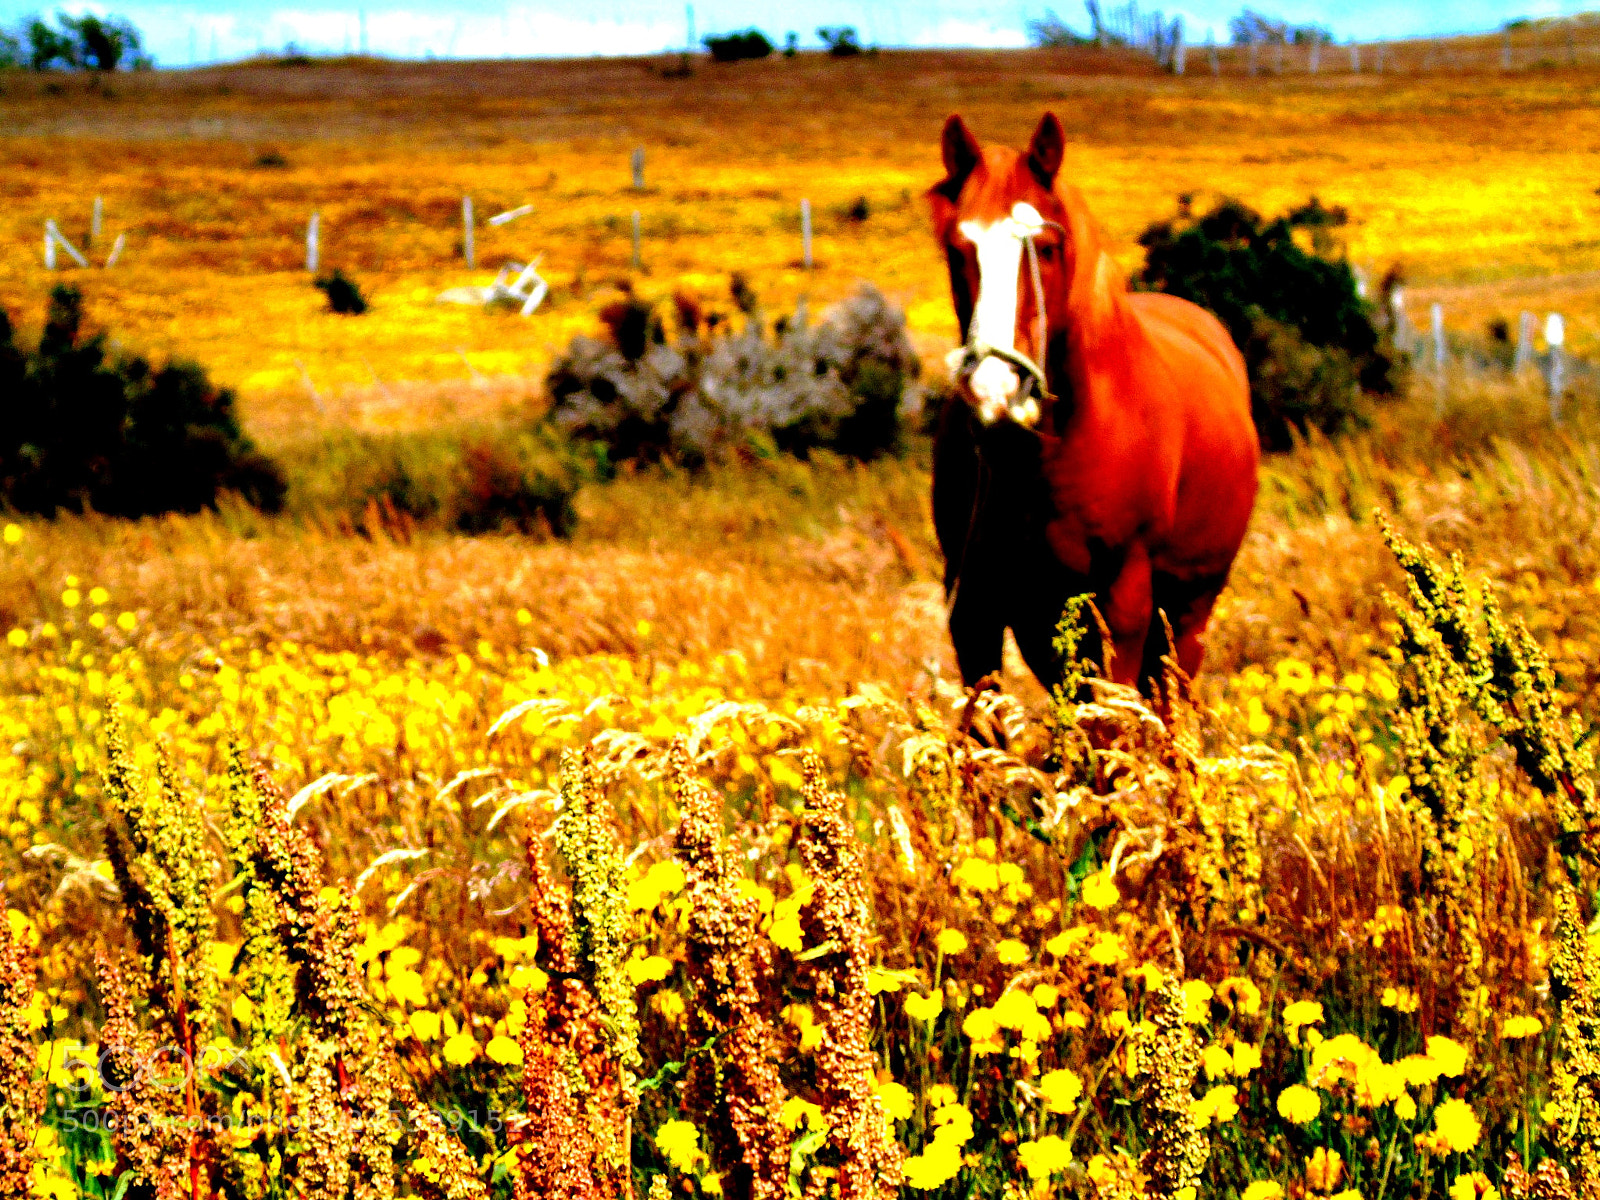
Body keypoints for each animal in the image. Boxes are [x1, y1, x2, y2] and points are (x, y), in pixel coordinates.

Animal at [928, 112, 1259, 697]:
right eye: (958, 249)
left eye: (1045, 248)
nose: (995, 385)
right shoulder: (979, 607)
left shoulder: (1123, 602)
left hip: (1188, 616)